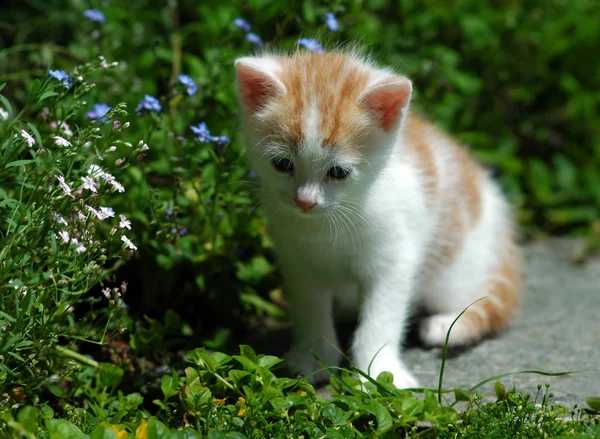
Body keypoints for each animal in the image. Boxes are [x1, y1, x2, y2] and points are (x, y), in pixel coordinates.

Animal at [234, 50, 520, 388]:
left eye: (339, 172)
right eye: (282, 164)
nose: (305, 201)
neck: (328, 224)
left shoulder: (394, 257)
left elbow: (382, 317)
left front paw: (378, 371)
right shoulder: (297, 259)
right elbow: (310, 308)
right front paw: (312, 357)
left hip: (456, 267)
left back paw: (447, 324)